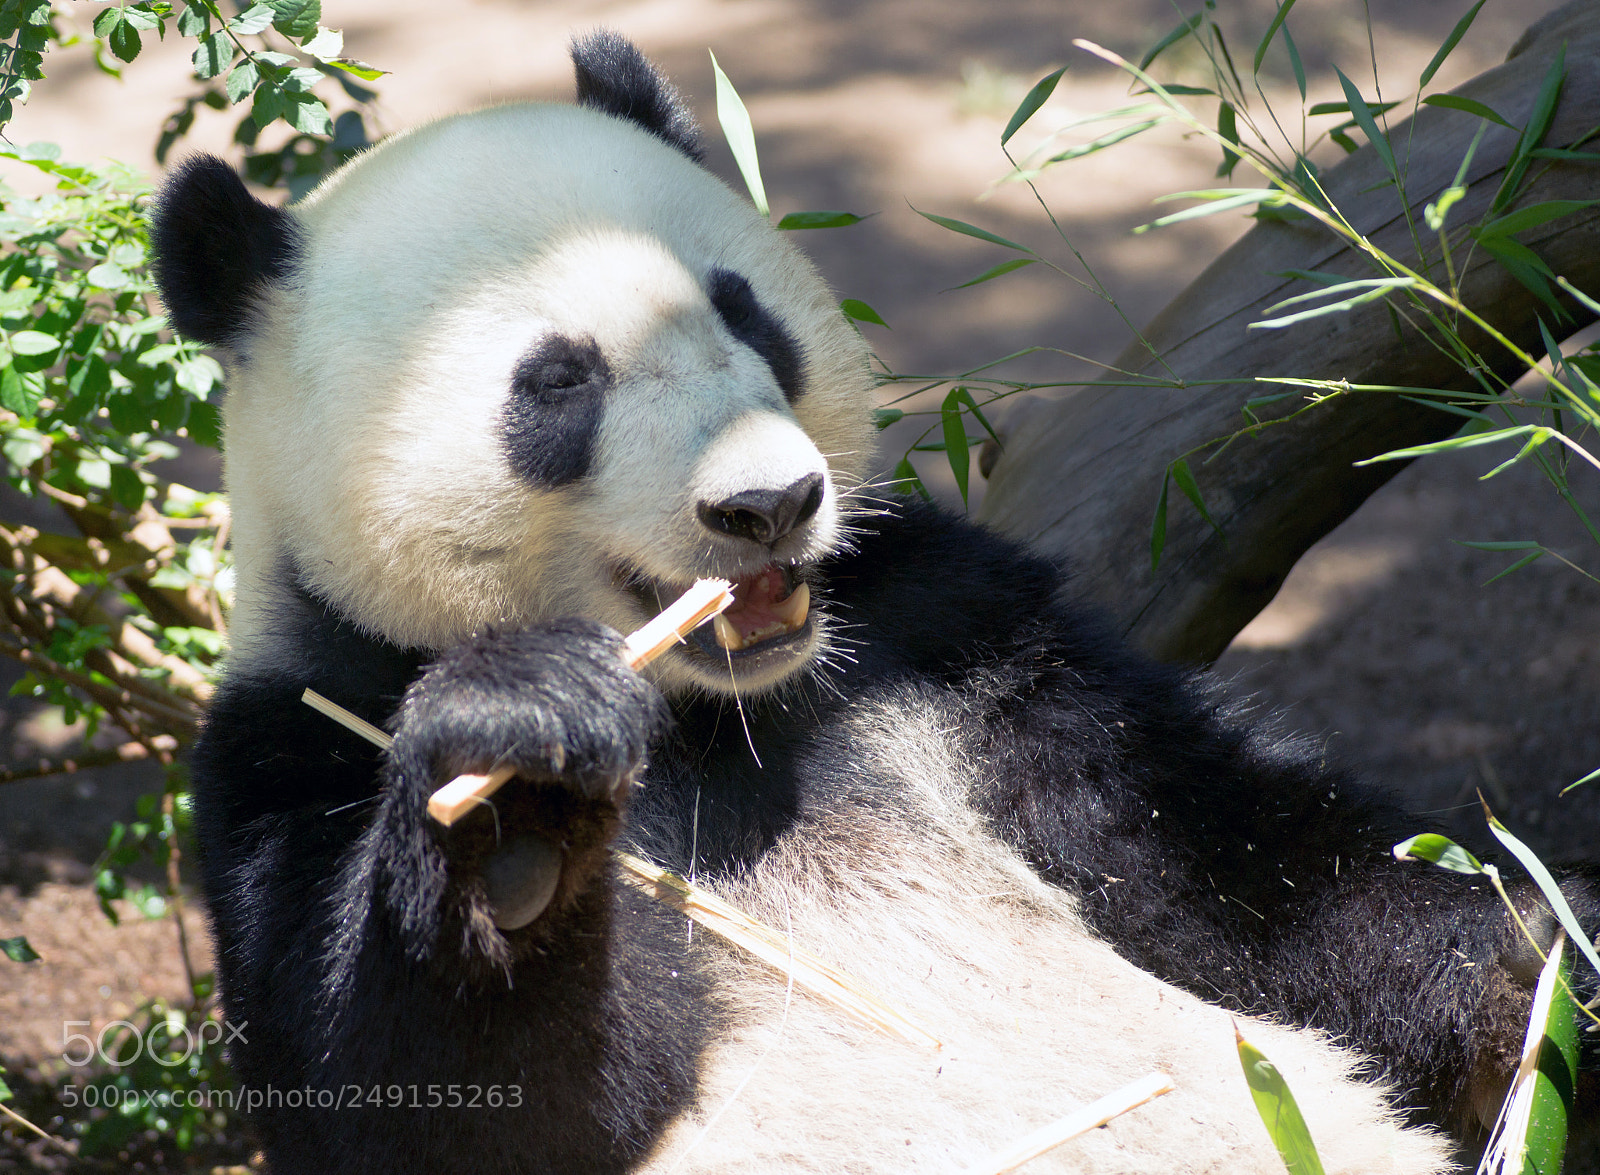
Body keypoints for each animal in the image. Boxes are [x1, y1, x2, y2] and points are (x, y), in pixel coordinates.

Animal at [148, 31, 1596, 1175]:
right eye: (557, 383)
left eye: (745, 312)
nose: (768, 502)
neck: (724, 709)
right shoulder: (303, 733)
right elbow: (421, 1097)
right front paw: (518, 803)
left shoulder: (940, 637)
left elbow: (1242, 872)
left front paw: (1537, 953)